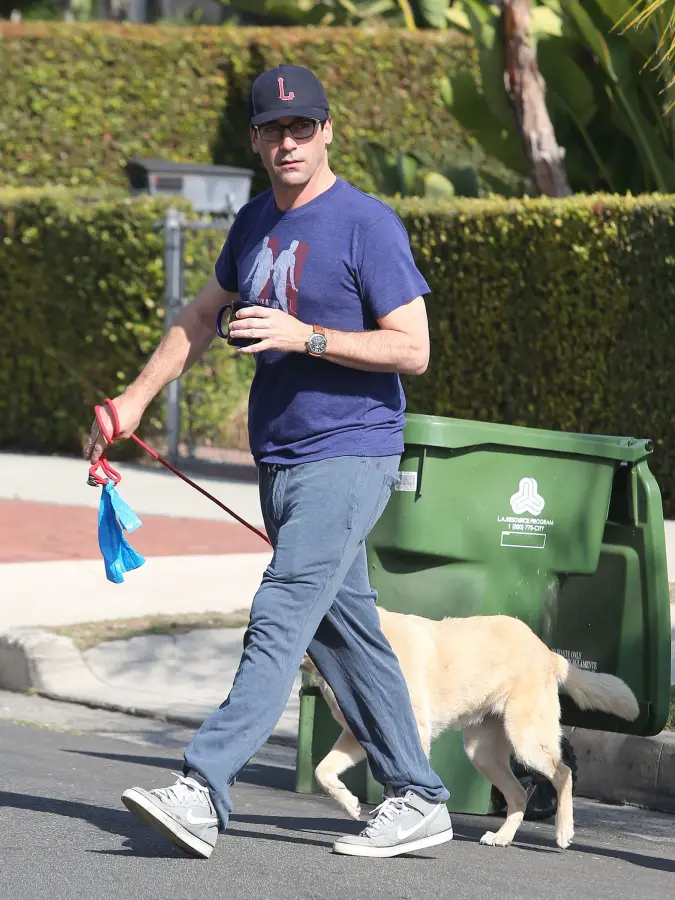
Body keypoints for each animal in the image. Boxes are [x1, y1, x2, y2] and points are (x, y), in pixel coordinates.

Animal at [300, 607, 639, 850]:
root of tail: (547, 651)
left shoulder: (410, 732)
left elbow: (402, 779)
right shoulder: (359, 736)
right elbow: (322, 771)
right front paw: (350, 804)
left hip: (526, 740)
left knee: (563, 773)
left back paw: (563, 831)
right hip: (483, 753)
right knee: (519, 794)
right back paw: (503, 837)